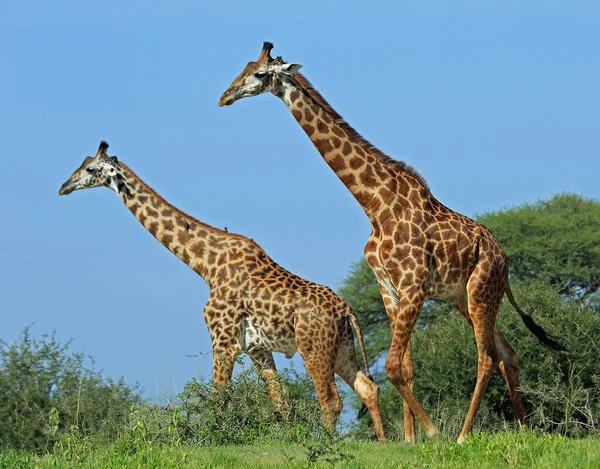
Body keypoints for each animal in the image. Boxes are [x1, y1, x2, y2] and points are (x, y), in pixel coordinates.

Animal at [59, 141, 384, 440]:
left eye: (90, 169)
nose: (64, 186)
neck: (205, 266)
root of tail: (346, 309)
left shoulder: (222, 338)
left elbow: (219, 398)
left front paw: (211, 440)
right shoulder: (257, 347)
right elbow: (281, 404)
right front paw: (291, 439)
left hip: (313, 347)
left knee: (331, 402)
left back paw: (329, 445)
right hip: (341, 346)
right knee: (367, 387)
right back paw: (384, 442)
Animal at [218, 41, 564, 442]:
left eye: (259, 74)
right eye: (243, 67)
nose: (224, 97)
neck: (376, 204)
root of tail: (504, 258)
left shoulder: (413, 285)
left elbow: (395, 366)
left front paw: (432, 433)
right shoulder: (389, 288)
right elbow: (406, 367)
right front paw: (411, 439)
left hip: (481, 289)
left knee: (487, 356)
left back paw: (464, 435)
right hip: (464, 296)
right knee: (508, 352)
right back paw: (525, 430)